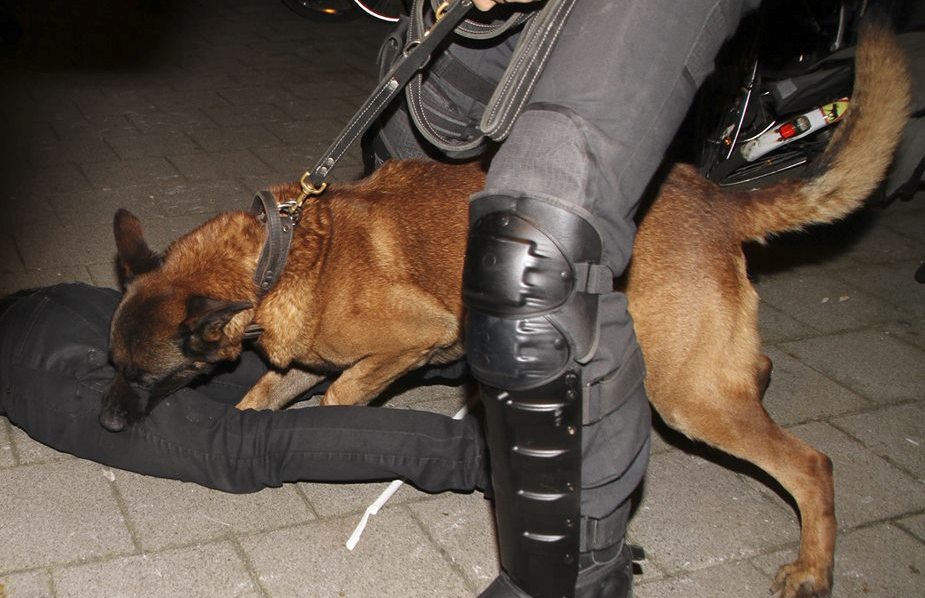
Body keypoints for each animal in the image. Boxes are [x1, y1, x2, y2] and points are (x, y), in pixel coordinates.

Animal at [101, 21, 908, 598]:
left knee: (811, 463)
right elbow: (266, 395)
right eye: (113, 365)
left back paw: (812, 566)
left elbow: (343, 391)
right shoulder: (296, 356)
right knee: (757, 371)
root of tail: (717, 197)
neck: (279, 256)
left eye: (141, 375)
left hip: (688, 394)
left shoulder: (416, 335)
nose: (106, 421)